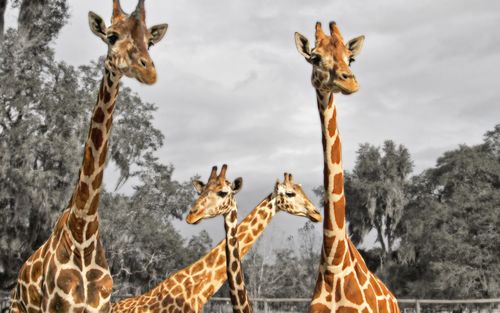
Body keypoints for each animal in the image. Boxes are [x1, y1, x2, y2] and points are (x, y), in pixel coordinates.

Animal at [8, 1, 169, 310]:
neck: (83, 231)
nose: (150, 72)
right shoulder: (55, 306)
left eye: (150, 42)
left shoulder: (102, 306)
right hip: (16, 308)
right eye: (111, 36)